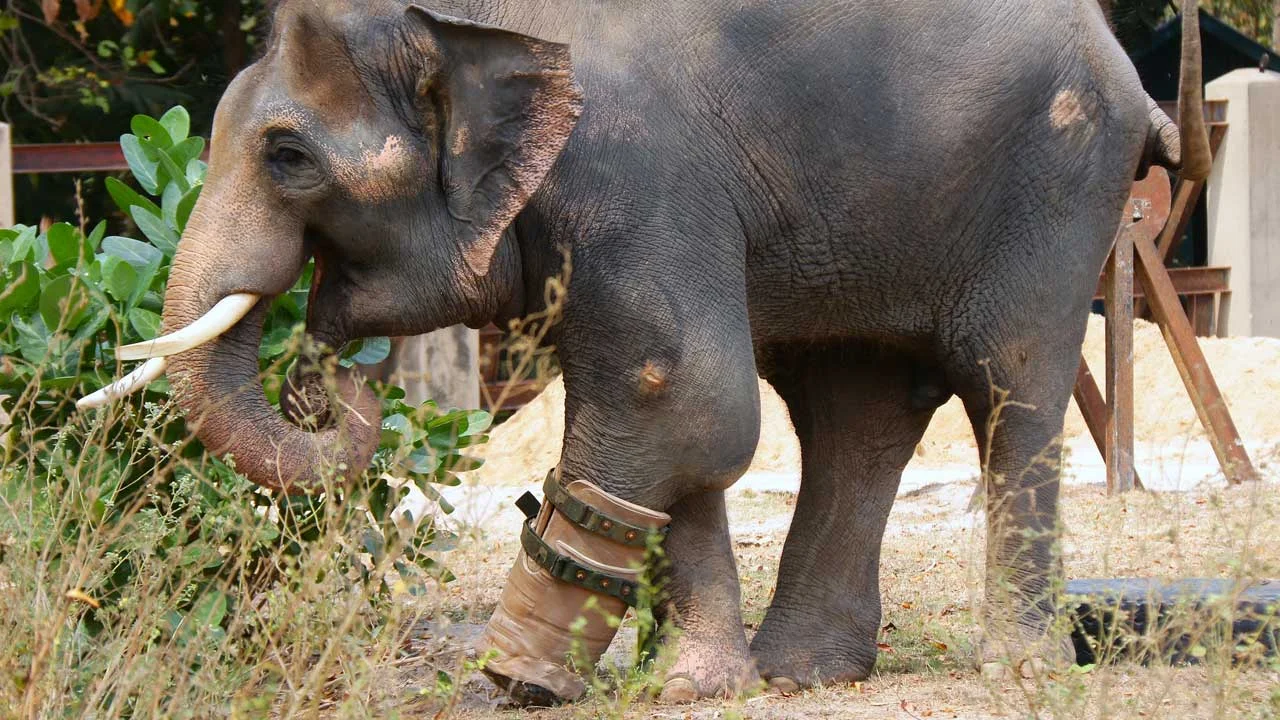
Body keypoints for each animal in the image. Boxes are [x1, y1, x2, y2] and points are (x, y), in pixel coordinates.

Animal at [90, 0, 1210, 704]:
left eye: (287, 156)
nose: (336, 385)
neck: (462, 24)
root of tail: (1130, 73)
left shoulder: (631, 167)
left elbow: (676, 391)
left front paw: (523, 676)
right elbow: (686, 413)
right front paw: (685, 685)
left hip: (1058, 179)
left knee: (1008, 383)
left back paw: (1014, 673)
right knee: (853, 411)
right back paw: (802, 675)